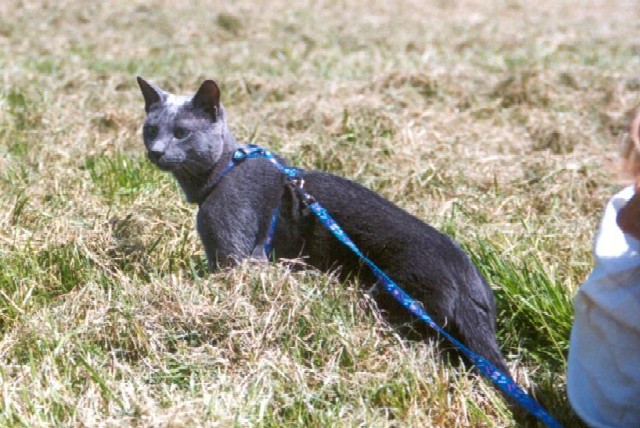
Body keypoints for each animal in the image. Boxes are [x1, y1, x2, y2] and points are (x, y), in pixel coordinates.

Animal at [136, 77, 510, 377]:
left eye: (182, 133)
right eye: (150, 129)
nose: (155, 151)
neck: (224, 170)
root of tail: (467, 282)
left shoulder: (233, 253)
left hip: (387, 296)